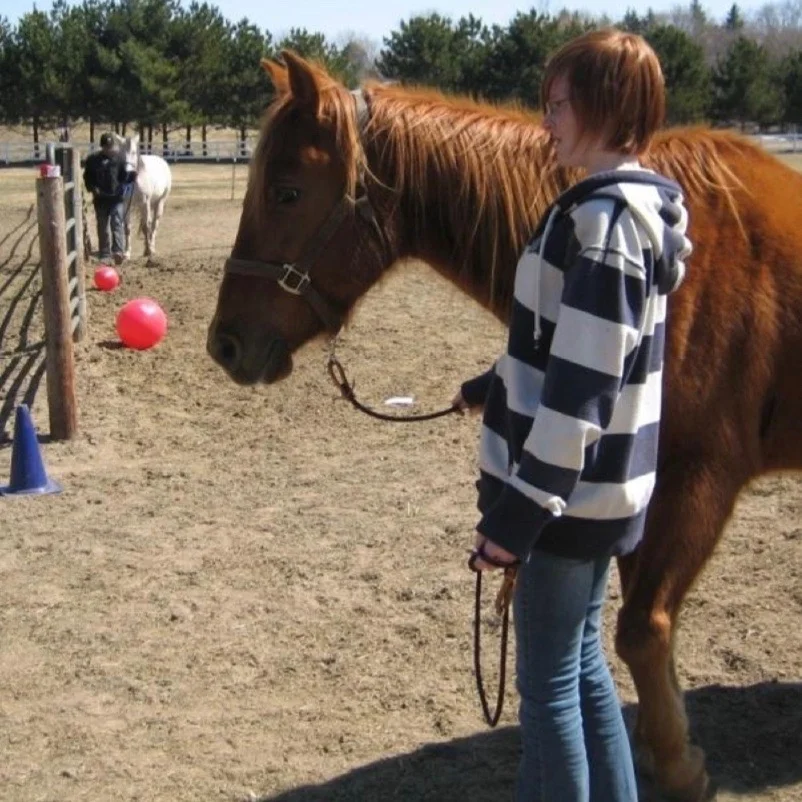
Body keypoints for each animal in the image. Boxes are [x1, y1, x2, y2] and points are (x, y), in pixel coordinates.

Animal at [206, 52, 802, 802]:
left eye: (286, 192)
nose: (224, 344)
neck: (687, 264)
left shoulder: (698, 481)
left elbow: (643, 627)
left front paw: (682, 765)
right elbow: (643, 627)